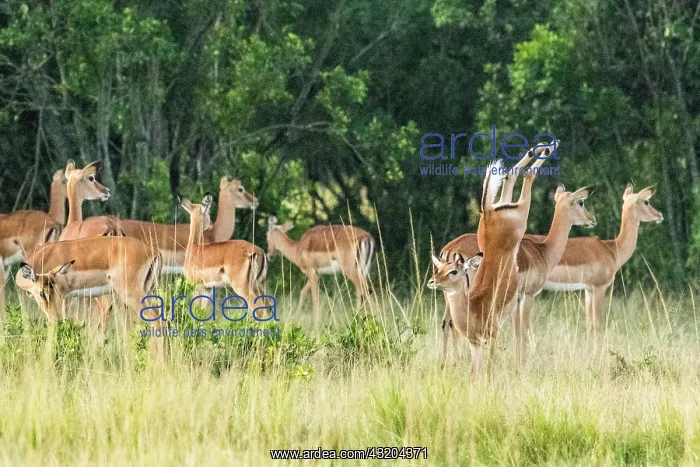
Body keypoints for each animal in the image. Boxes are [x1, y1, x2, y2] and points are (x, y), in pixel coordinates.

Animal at [428, 155, 544, 380]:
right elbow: (473, 375)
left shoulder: (493, 336)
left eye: (454, 270)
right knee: (511, 175)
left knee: (527, 176)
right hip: (507, 204)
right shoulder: (475, 344)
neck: (473, 309)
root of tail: (490, 212)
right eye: (439, 269)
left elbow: (489, 370)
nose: (432, 281)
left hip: (522, 213)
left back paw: (548, 147)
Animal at [440, 184, 597, 365]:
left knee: (446, 323)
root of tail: (451, 249)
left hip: (449, 294)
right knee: (454, 325)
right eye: (581, 202)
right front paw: (522, 363)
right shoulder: (528, 294)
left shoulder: (516, 298)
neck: (543, 251)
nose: (592, 219)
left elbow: (517, 330)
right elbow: (523, 330)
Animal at [542, 184, 663, 338]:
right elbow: (597, 324)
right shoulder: (599, 287)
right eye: (646, 201)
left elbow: (589, 325)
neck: (611, 249)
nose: (660, 215)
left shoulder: (588, 290)